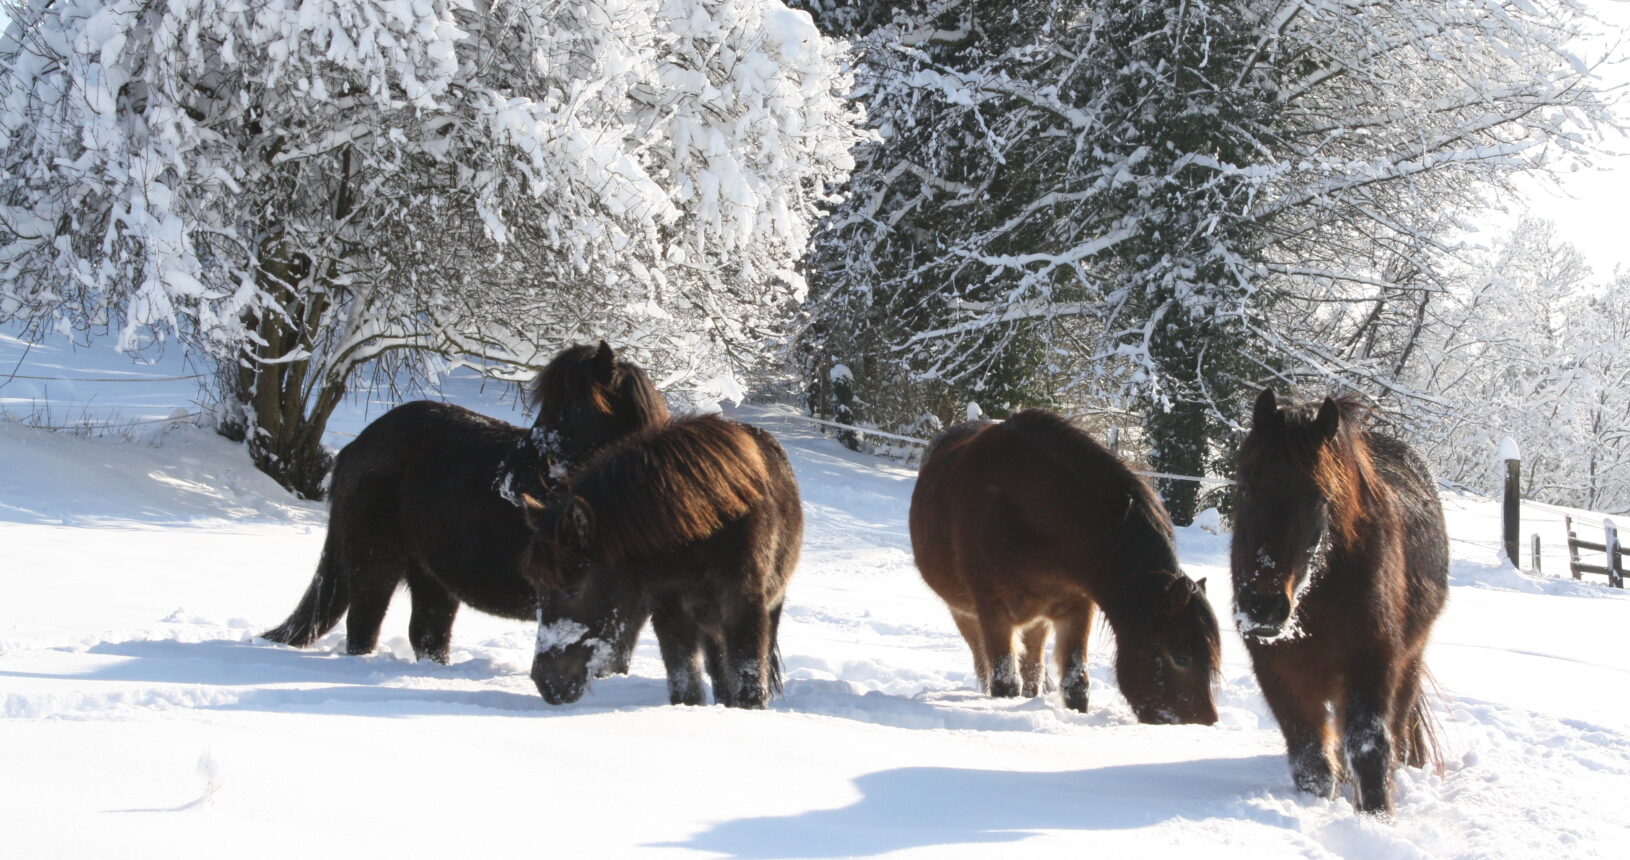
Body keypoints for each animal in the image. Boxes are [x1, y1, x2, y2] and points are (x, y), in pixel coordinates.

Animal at [260, 342, 668, 668]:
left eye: (577, 411)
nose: (510, 482)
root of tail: (358, 443)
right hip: (375, 564)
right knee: (364, 627)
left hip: (431, 577)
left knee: (428, 635)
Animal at [520, 413, 802, 709]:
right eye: (537, 588)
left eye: (573, 590)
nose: (546, 683)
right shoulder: (669, 610)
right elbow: (685, 685)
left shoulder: (742, 606)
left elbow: (750, 681)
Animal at [910, 409, 1220, 724]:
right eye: (1180, 658)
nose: (1204, 722)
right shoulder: (992, 608)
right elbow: (1004, 684)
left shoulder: (1077, 607)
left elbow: (1076, 685)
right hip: (965, 614)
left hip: (1037, 619)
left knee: (1033, 672)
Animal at [1232, 389, 1448, 815]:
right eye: (1246, 486)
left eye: (1319, 498)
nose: (1262, 607)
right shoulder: (1278, 670)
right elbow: (1310, 759)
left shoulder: (1371, 662)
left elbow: (1370, 748)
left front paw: (1377, 817)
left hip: (1407, 663)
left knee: (1397, 735)